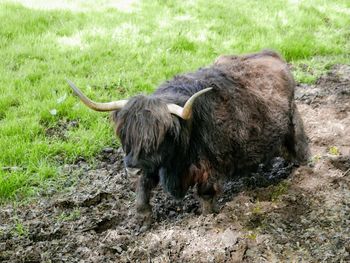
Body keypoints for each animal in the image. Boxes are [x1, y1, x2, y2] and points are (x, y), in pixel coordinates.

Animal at [67, 49, 308, 231]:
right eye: (125, 135)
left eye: (158, 137)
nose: (131, 169)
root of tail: (273, 55)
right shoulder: (152, 164)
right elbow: (142, 191)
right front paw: (143, 221)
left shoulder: (208, 168)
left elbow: (205, 195)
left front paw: (207, 218)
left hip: (292, 125)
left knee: (301, 148)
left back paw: (303, 171)